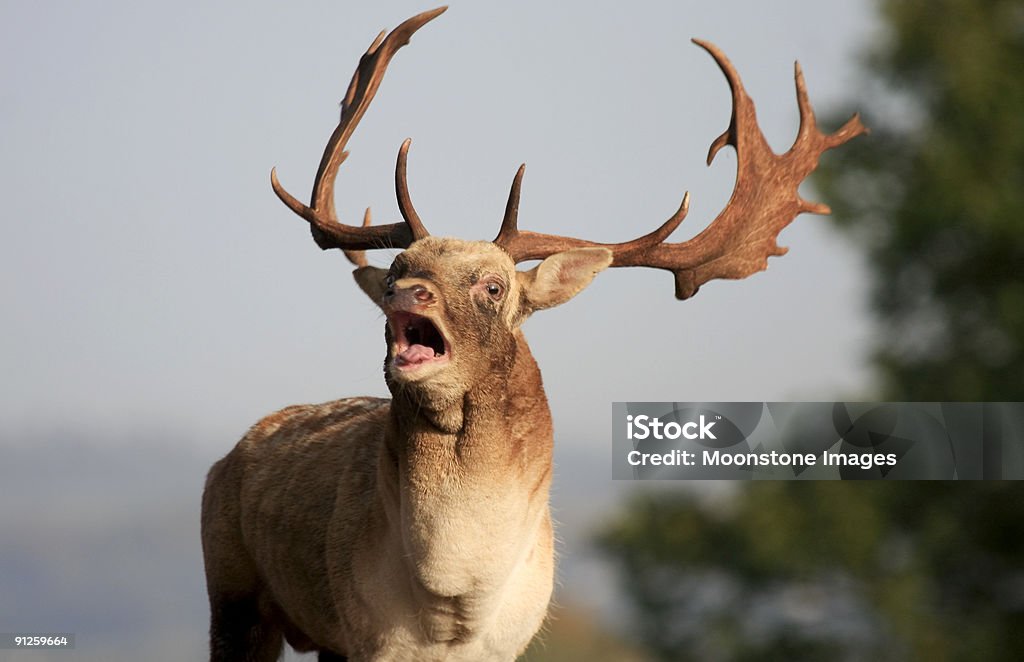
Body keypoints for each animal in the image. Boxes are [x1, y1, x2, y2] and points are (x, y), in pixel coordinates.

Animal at [197, 6, 864, 662]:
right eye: (395, 267)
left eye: (493, 287)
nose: (403, 292)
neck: (454, 608)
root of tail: (227, 458)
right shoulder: (363, 633)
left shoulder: (508, 643)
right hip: (232, 592)